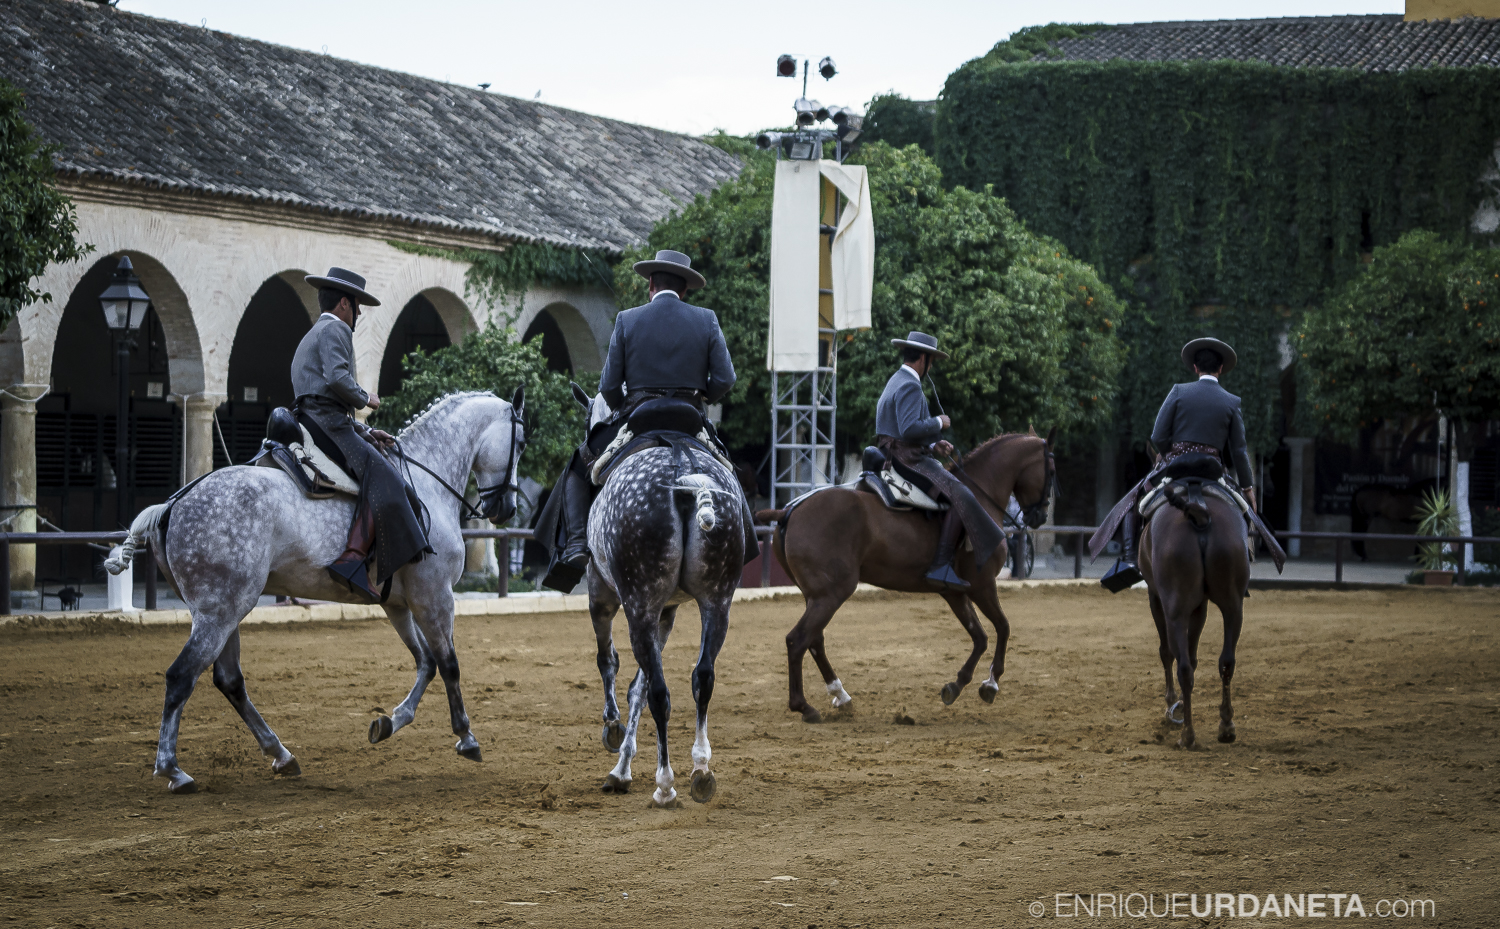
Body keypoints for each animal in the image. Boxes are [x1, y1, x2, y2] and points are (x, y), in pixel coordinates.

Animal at [107, 390, 528, 792]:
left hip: (224, 611)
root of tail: (174, 503)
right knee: (182, 677)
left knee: (229, 680)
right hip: (220, 612)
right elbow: (449, 663)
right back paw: (173, 770)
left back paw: (280, 754)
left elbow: (426, 662)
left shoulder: (397, 603)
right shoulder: (435, 595)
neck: (425, 482)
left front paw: (390, 722)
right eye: (521, 442)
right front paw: (465, 736)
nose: (506, 508)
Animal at [579, 393, 744, 804]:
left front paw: (613, 730)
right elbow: (638, 683)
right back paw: (701, 769)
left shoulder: (603, 592)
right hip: (717, 602)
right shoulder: (666, 611)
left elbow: (609, 661)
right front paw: (622, 766)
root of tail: (683, 468)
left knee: (659, 693)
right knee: (703, 676)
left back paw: (665, 784)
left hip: (637, 602)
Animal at [768, 432, 1050, 723]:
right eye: (1051, 470)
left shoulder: (955, 592)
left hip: (816, 596)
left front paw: (956, 685)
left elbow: (980, 637)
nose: (1041, 515)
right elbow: (1003, 627)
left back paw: (841, 695)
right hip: (830, 595)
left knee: (815, 640)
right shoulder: (982, 586)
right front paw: (991, 684)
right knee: (798, 640)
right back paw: (804, 706)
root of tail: (789, 510)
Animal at [1140, 471, 1248, 747]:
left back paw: (1187, 734)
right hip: (1233, 605)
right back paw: (1226, 725)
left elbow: (1167, 652)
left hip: (1175, 610)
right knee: (1226, 662)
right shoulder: (1201, 605)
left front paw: (1171, 701)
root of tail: (1199, 511)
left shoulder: (1155, 596)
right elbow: (1194, 652)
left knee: (1183, 667)